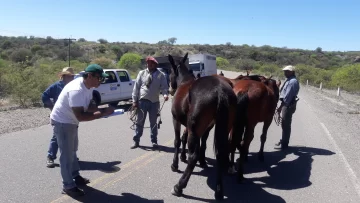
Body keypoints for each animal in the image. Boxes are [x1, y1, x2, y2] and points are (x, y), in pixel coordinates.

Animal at [169, 53, 238, 201]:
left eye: (170, 72)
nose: (170, 89)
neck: (184, 82)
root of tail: (220, 91)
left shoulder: (176, 120)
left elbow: (177, 141)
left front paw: (175, 164)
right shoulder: (206, 127)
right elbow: (202, 143)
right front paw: (201, 161)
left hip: (194, 129)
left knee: (193, 157)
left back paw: (179, 186)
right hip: (222, 128)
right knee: (220, 154)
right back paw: (219, 191)